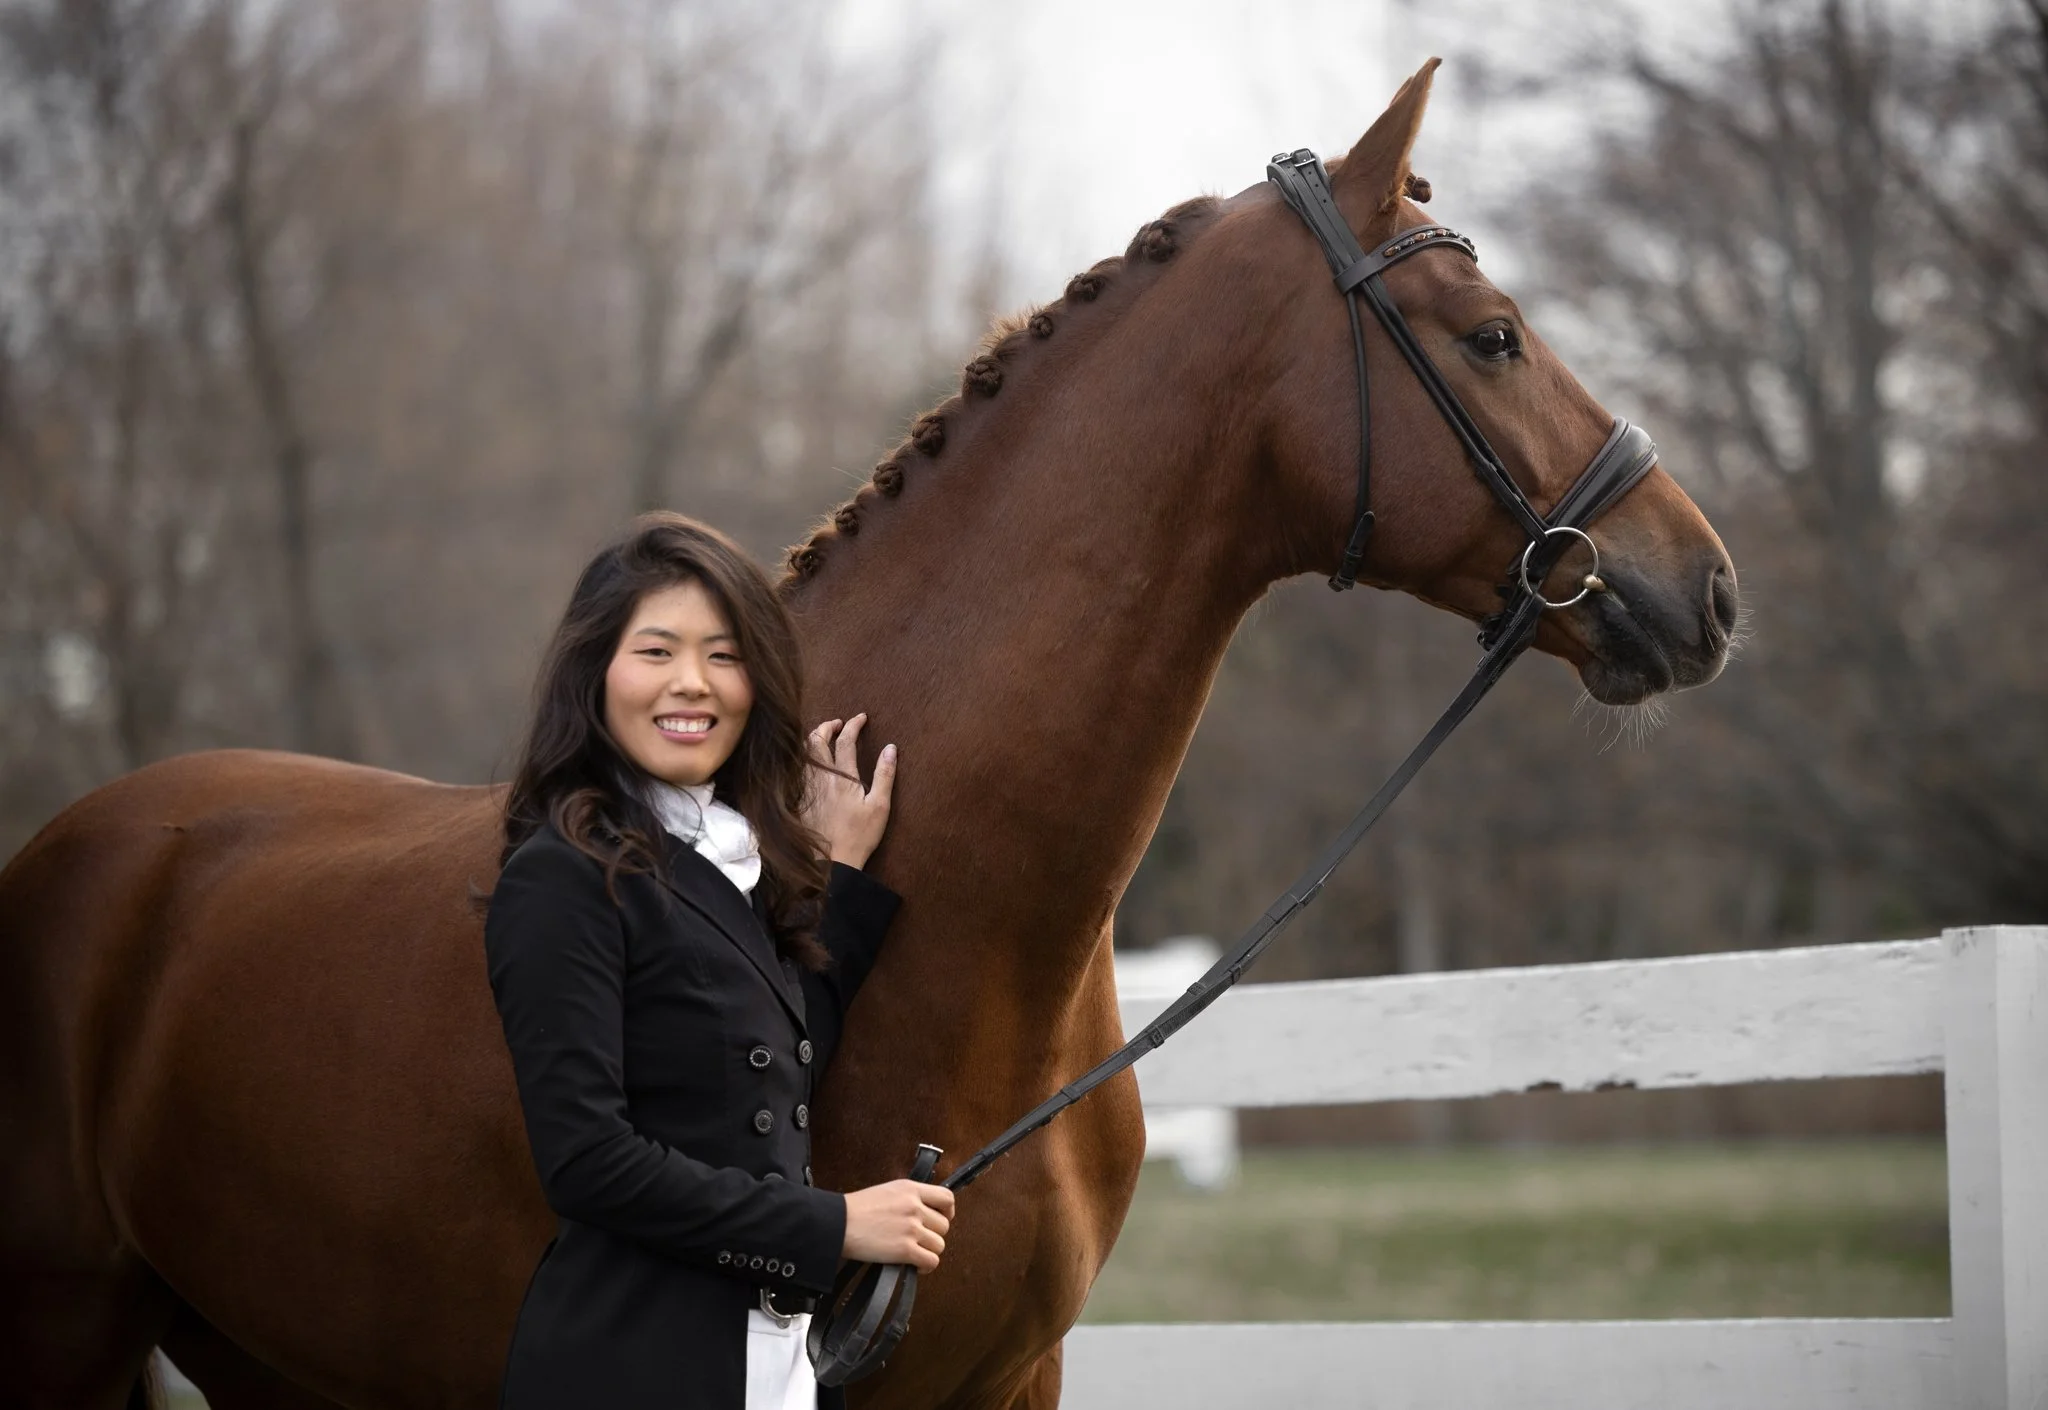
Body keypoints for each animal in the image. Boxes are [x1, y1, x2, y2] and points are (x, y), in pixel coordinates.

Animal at [0, 61, 1736, 1410]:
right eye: (1493, 334)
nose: (1704, 585)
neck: (972, 949)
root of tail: (74, 850)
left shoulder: (1013, 1376)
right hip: (72, 1334)